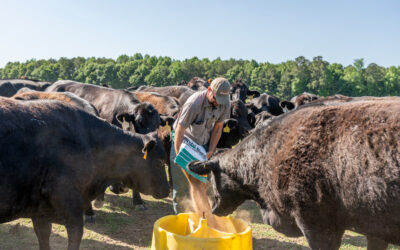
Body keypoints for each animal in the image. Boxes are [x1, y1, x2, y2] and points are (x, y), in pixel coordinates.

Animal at [0, 97, 169, 250]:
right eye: (160, 162)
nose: (167, 190)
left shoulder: (41, 210)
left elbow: (44, 237)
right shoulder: (70, 205)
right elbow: (75, 237)